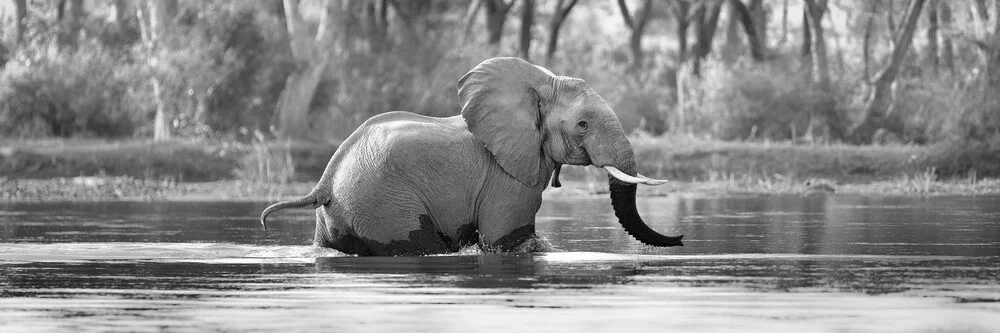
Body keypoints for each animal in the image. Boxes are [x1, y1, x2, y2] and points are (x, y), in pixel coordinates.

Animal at [258, 57, 684, 255]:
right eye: (582, 124)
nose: (681, 239)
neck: (539, 85)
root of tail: (325, 180)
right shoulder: (507, 179)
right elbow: (508, 242)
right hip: (384, 202)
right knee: (417, 245)